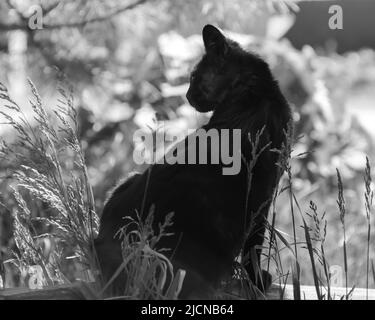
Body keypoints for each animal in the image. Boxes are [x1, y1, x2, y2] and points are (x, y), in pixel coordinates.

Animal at [94, 23, 294, 298]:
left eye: (193, 78)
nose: (187, 95)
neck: (253, 93)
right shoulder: (262, 196)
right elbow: (254, 248)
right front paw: (256, 281)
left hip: (126, 181)